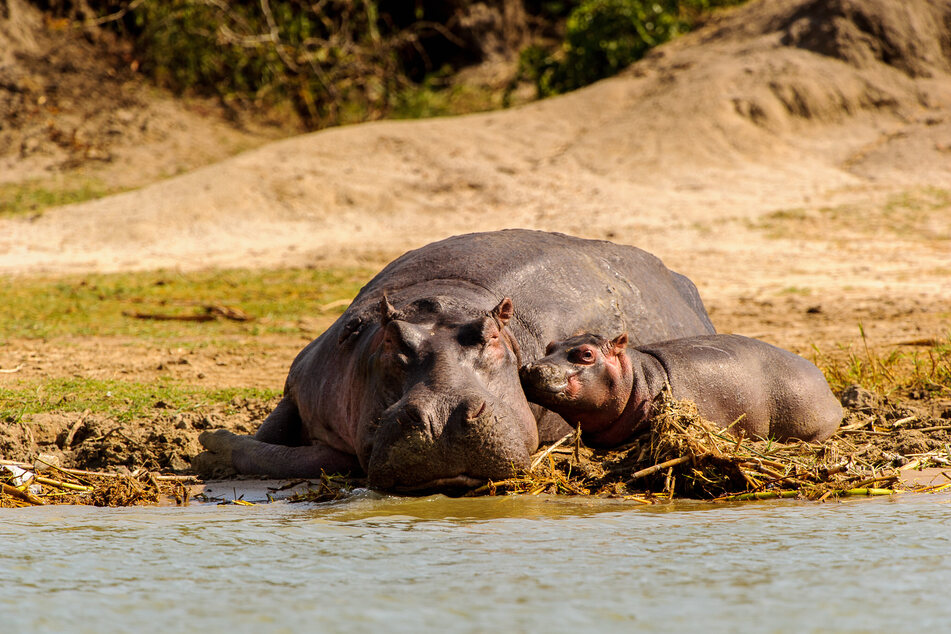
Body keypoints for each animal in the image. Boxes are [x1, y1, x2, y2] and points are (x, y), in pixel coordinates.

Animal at [199, 230, 712, 492]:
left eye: (493, 337)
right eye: (391, 338)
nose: (444, 413)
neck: (444, 301)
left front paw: (208, 445)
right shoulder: (298, 384)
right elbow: (267, 444)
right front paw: (209, 445)